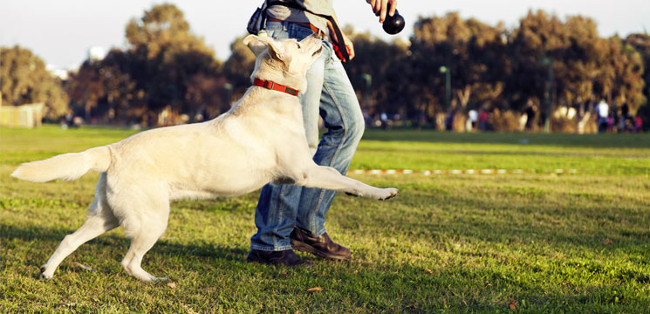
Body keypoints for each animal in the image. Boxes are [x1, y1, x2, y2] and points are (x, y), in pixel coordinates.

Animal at [12, 35, 398, 282]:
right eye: (300, 44)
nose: (321, 34)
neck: (273, 95)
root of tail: (112, 150)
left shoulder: (297, 174)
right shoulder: (304, 172)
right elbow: (347, 178)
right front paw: (383, 192)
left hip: (107, 216)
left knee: (69, 239)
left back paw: (48, 272)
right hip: (151, 219)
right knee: (128, 261)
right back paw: (154, 280)